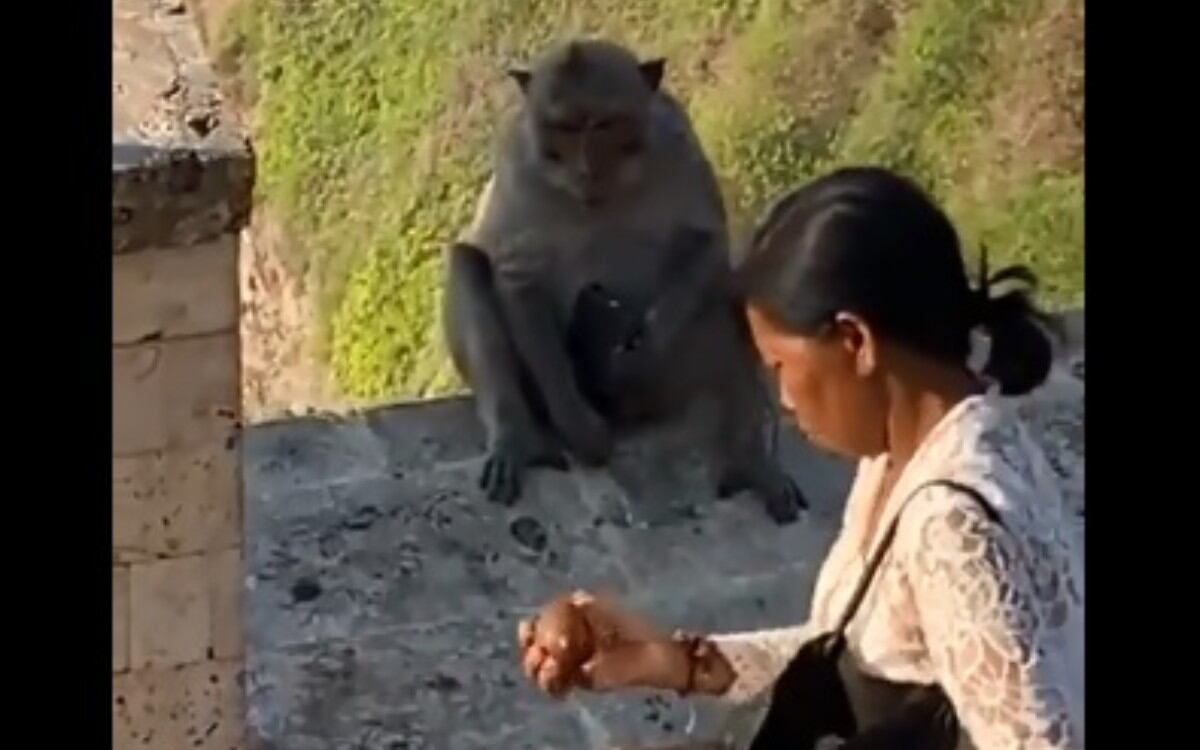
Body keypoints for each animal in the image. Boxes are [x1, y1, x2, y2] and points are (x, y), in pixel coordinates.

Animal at [442, 39, 807, 523]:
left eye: (601, 125)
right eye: (563, 128)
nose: (585, 169)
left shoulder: (676, 137)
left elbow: (705, 241)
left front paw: (638, 360)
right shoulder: (519, 164)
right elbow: (518, 274)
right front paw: (581, 430)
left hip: (668, 388)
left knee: (723, 296)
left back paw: (751, 462)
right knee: (466, 264)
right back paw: (516, 439)